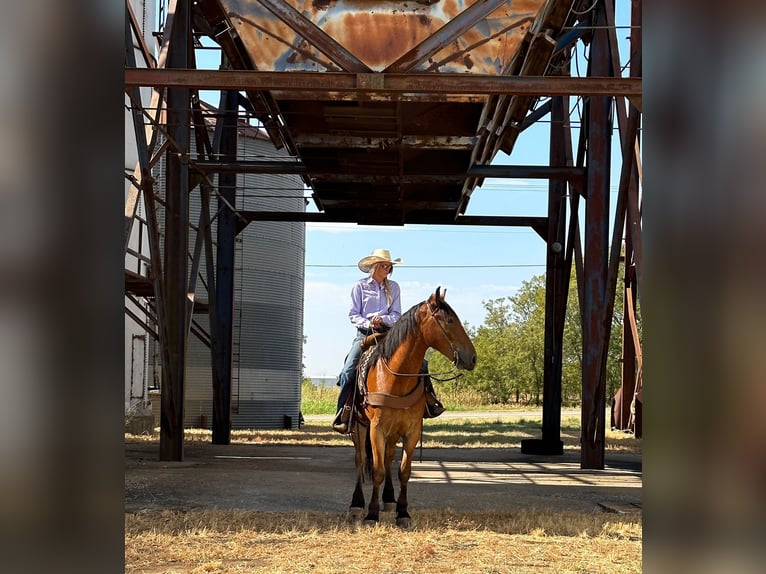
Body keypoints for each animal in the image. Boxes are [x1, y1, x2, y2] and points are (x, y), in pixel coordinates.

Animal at [350, 286, 480, 528]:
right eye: (449, 320)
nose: (473, 358)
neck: (396, 377)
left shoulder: (411, 430)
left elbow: (403, 471)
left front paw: (403, 512)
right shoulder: (376, 429)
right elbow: (377, 470)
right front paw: (371, 514)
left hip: (392, 432)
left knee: (388, 458)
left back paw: (389, 499)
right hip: (358, 426)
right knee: (360, 460)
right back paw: (356, 504)